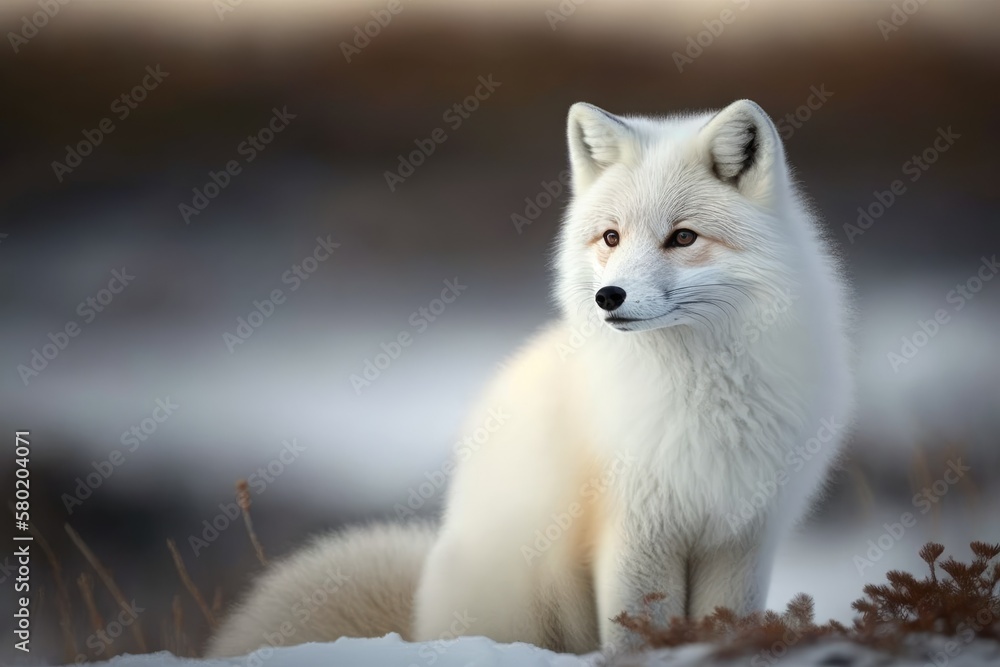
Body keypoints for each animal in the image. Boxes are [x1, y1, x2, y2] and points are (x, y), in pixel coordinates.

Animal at [209, 99, 852, 656]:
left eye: (683, 237)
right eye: (611, 237)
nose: (608, 296)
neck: (702, 395)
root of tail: (418, 623)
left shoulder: (743, 537)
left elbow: (727, 625)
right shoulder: (634, 533)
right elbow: (635, 634)